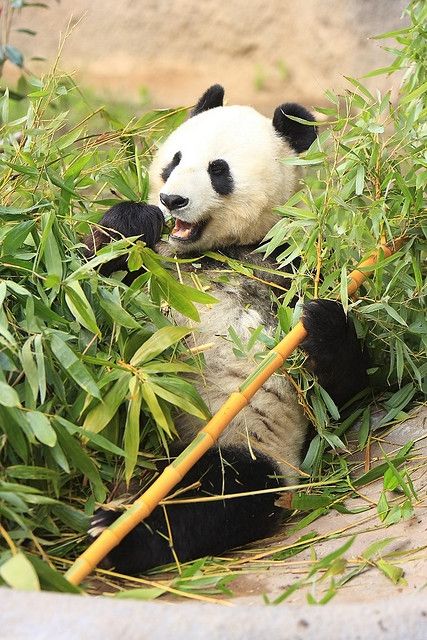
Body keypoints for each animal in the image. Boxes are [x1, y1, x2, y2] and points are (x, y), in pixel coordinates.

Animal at [86, 86, 368, 576]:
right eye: (174, 160)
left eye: (219, 171)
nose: (172, 200)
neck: (218, 252)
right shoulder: (154, 272)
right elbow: (84, 289)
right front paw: (132, 222)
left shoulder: (287, 265)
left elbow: (345, 392)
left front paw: (322, 321)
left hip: (241, 443)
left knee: (215, 498)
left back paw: (117, 534)